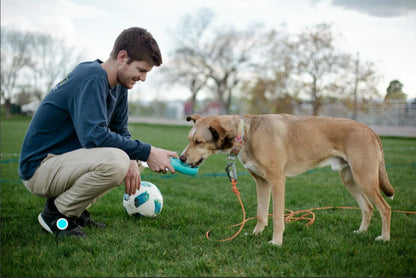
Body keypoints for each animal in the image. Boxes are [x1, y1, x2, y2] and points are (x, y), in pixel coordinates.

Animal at [180, 113, 394, 245]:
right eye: (189, 140)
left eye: (199, 142)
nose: (181, 158)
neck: (247, 133)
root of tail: (370, 130)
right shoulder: (262, 183)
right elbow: (261, 214)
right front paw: (256, 234)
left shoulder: (277, 181)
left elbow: (277, 218)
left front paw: (276, 242)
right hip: (351, 179)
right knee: (368, 207)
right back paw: (362, 231)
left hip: (365, 179)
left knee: (385, 208)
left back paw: (384, 238)